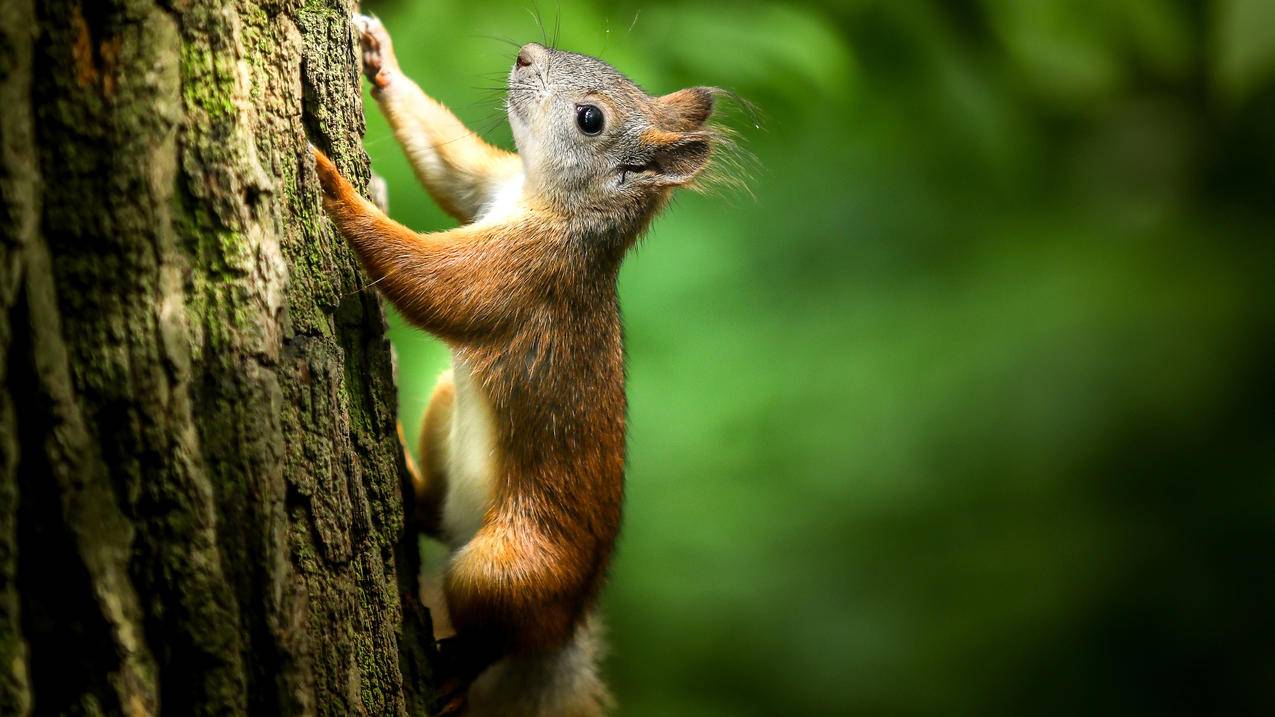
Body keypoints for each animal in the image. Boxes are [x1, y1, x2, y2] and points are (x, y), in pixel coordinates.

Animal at [311, 12, 729, 714]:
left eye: (590, 118)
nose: (527, 55)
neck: (546, 202)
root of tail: (564, 629)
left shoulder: (528, 274)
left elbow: (430, 281)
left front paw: (330, 183)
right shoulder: (493, 185)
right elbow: (453, 165)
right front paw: (379, 55)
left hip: (506, 570)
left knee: (497, 633)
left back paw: (457, 673)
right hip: (445, 409)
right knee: (434, 512)